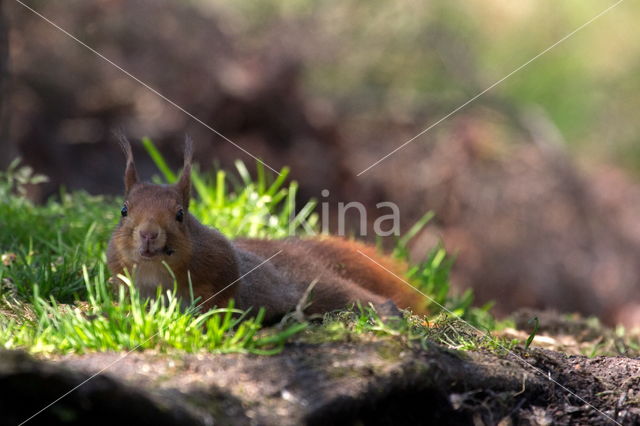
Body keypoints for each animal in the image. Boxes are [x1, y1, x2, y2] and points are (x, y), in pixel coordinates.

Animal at [107, 138, 422, 322]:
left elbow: (223, 295)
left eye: (180, 215)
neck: (156, 269)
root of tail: (293, 249)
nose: (148, 234)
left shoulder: (222, 263)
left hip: (313, 283)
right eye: (124, 211)